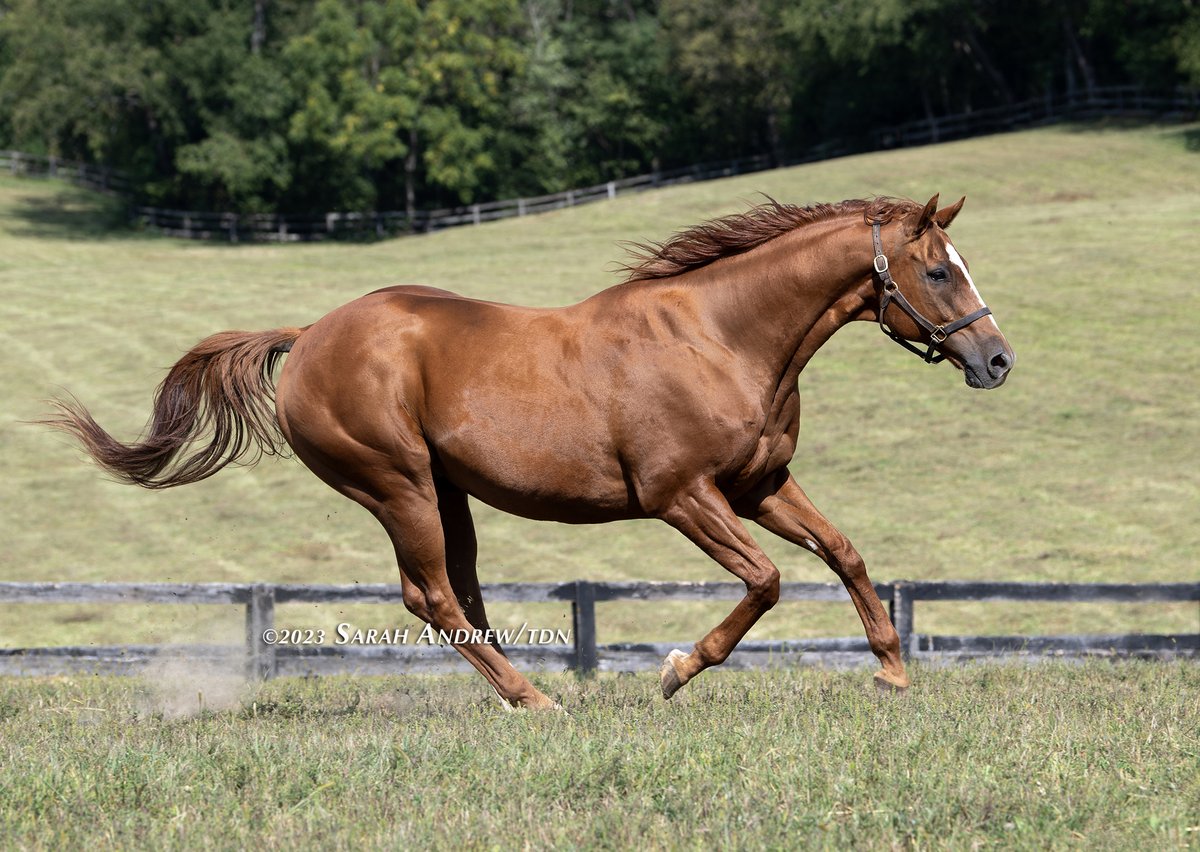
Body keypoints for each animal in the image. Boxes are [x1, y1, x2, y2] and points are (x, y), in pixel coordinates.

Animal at [44, 193, 1014, 709]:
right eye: (938, 271)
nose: (998, 360)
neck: (722, 336)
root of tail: (309, 336)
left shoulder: (760, 484)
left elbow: (844, 553)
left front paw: (892, 671)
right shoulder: (683, 496)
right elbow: (767, 582)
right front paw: (674, 672)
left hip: (448, 492)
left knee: (459, 594)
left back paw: (531, 688)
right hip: (398, 485)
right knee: (431, 596)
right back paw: (534, 699)